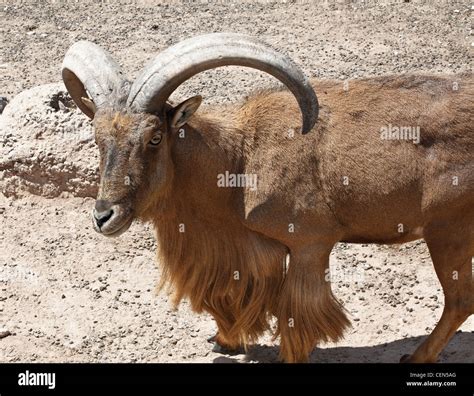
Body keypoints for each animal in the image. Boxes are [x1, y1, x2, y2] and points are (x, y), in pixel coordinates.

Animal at [63, 33, 474, 362]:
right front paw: (226, 340)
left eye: (154, 137)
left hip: (448, 231)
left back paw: (416, 357)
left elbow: (297, 316)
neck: (239, 161)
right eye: (98, 139)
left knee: (459, 300)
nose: (104, 216)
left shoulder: (310, 244)